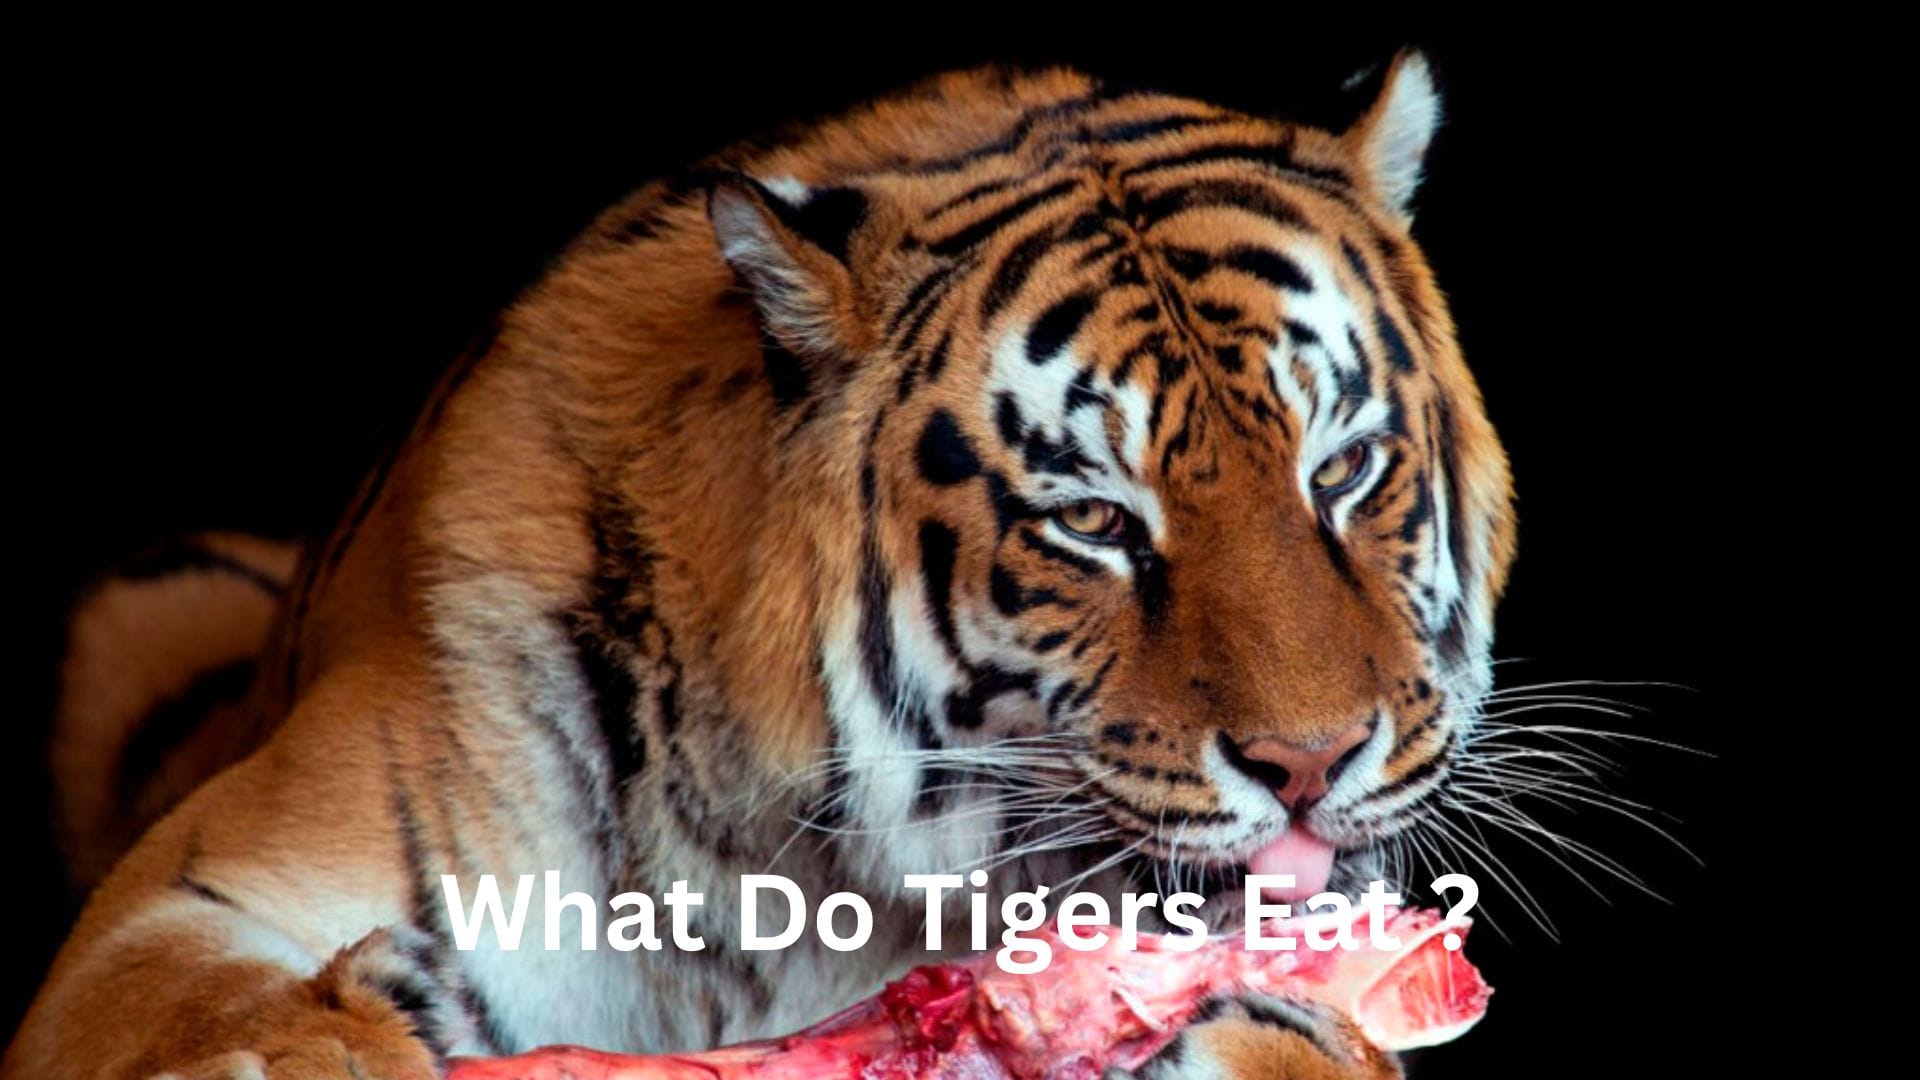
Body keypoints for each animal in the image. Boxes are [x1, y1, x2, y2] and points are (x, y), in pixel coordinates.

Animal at [7, 51, 1514, 1080]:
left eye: (1341, 471)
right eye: (1092, 520)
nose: (1309, 765)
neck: (814, 897)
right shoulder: (186, 893)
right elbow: (189, 1004)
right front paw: (329, 1037)